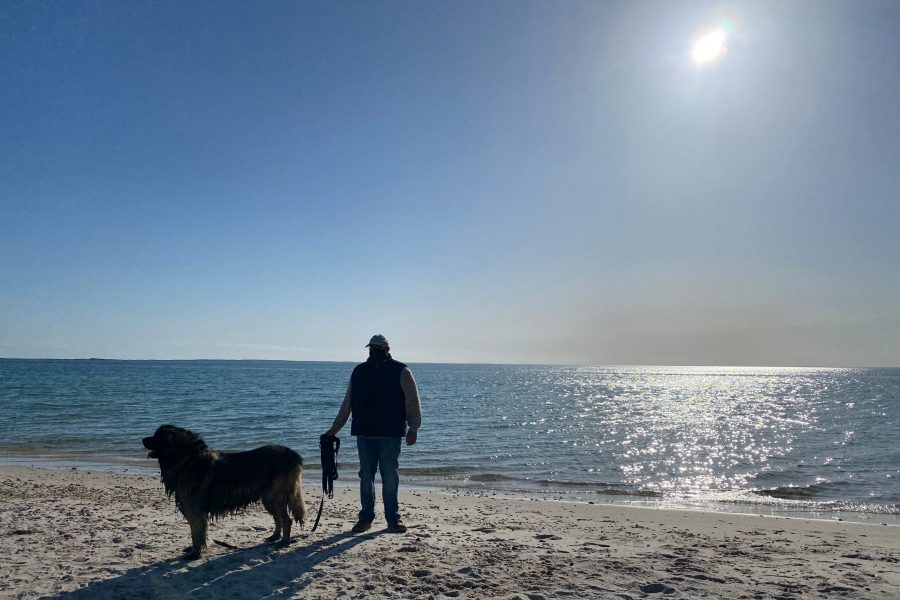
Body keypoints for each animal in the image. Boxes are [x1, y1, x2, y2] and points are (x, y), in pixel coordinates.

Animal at [142, 424, 306, 560]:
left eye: (157, 436)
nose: (142, 439)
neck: (185, 457)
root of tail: (294, 455)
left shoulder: (194, 509)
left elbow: (196, 533)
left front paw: (195, 553)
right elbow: (200, 532)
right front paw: (197, 549)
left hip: (275, 496)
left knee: (286, 520)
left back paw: (284, 541)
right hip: (269, 498)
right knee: (278, 518)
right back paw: (275, 537)